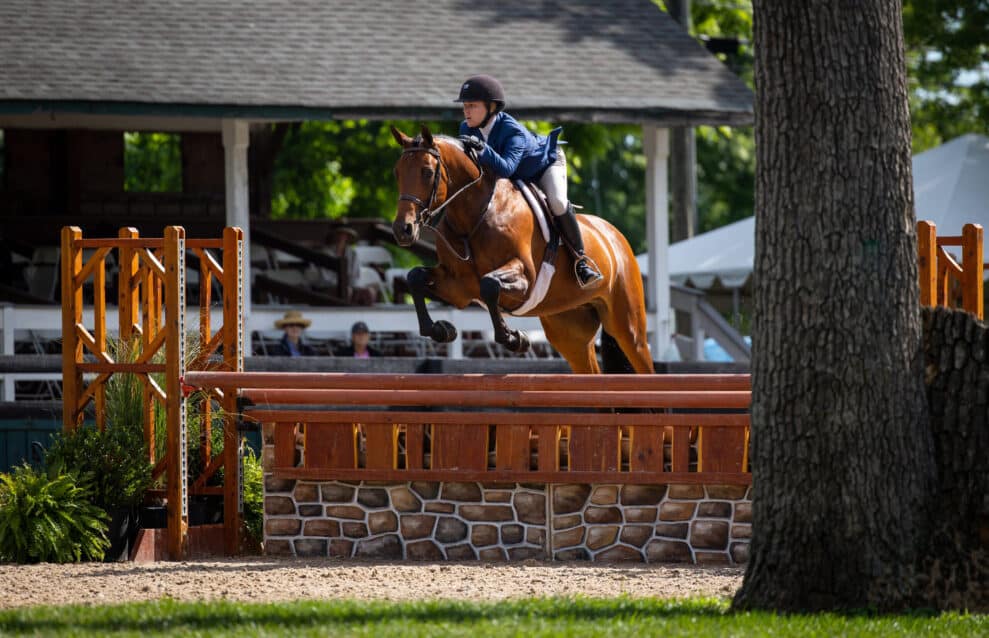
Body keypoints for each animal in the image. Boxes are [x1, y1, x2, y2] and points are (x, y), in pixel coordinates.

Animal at [390, 125, 652, 376]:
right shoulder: (458, 287)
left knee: (643, 362)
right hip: (569, 330)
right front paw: (441, 330)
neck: (475, 217)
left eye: (427, 172)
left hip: (628, 328)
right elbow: (415, 277)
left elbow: (489, 284)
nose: (403, 230)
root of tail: (614, 236)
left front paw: (514, 339)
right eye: (397, 173)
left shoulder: (526, 277)